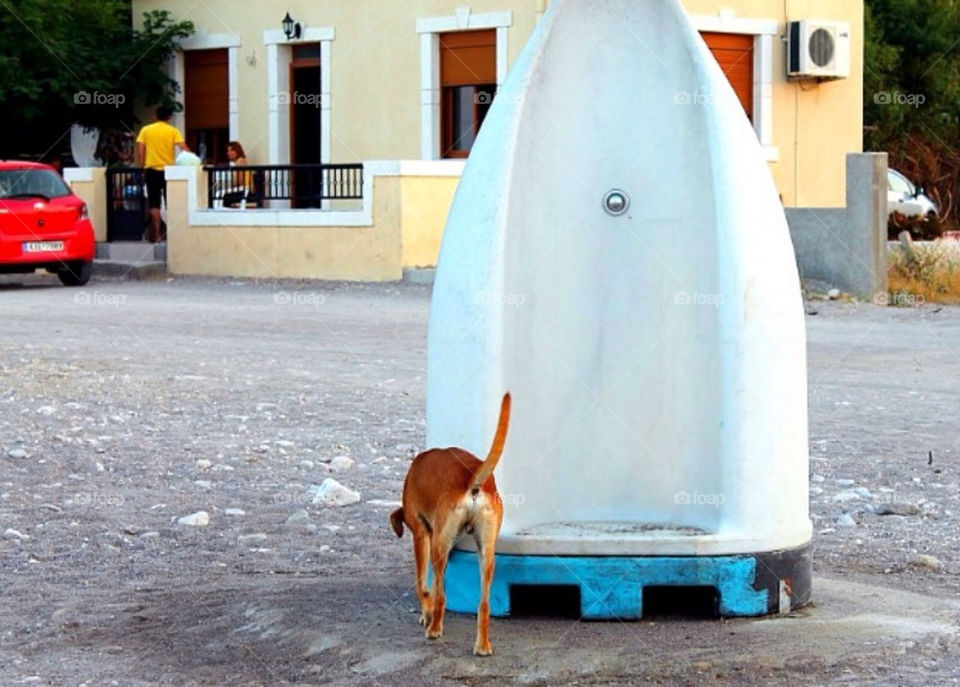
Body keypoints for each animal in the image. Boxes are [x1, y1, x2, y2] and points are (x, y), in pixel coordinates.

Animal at [388, 392, 510, 656]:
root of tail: (472, 473)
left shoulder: (421, 534)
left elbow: (424, 586)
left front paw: (426, 615)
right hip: (487, 552)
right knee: (483, 605)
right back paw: (482, 645)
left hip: (438, 546)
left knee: (442, 596)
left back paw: (434, 629)